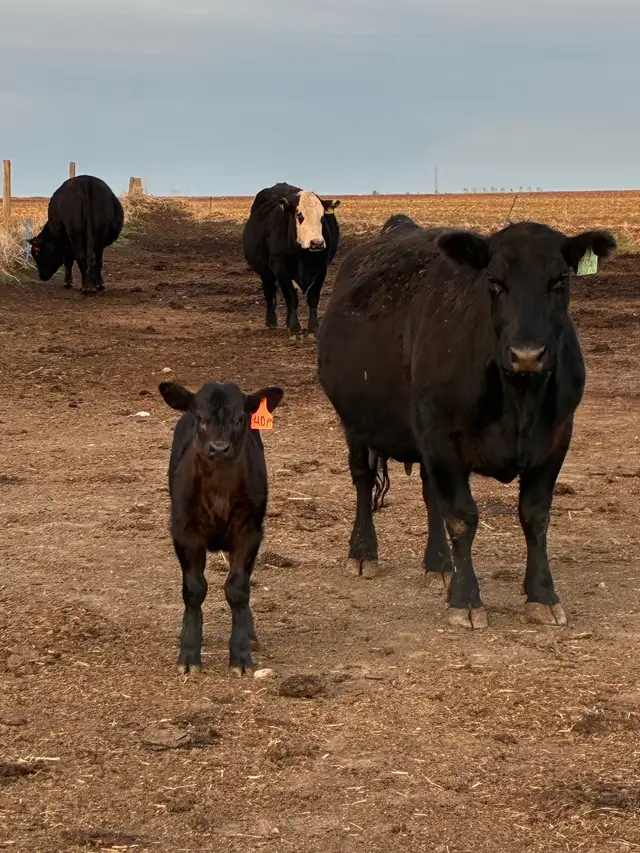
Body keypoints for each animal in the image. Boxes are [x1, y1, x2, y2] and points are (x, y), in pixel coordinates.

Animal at [159, 378, 284, 676]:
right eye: (201, 418)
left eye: (239, 418)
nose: (218, 448)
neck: (219, 492)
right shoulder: (184, 532)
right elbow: (194, 590)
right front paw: (189, 653)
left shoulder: (249, 532)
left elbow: (238, 588)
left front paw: (240, 654)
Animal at [242, 182, 341, 338]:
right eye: (299, 215)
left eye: (322, 217)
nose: (317, 243)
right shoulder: (281, 269)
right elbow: (291, 298)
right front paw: (295, 328)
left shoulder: (321, 269)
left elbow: (313, 297)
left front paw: (313, 327)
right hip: (266, 274)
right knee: (270, 293)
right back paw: (271, 322)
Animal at [317, 217, 616, 630]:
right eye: (494, 281)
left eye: (560, 281)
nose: (527, 354)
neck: (518, 400)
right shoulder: (441, 438)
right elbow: (461, 517)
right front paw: (466, 599)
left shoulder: (556, 440)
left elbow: (535, 516)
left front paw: (542, 594)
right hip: (356, 423)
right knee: (363, 480)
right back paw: (363, 552)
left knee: (429, 494)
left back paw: (439, 564)